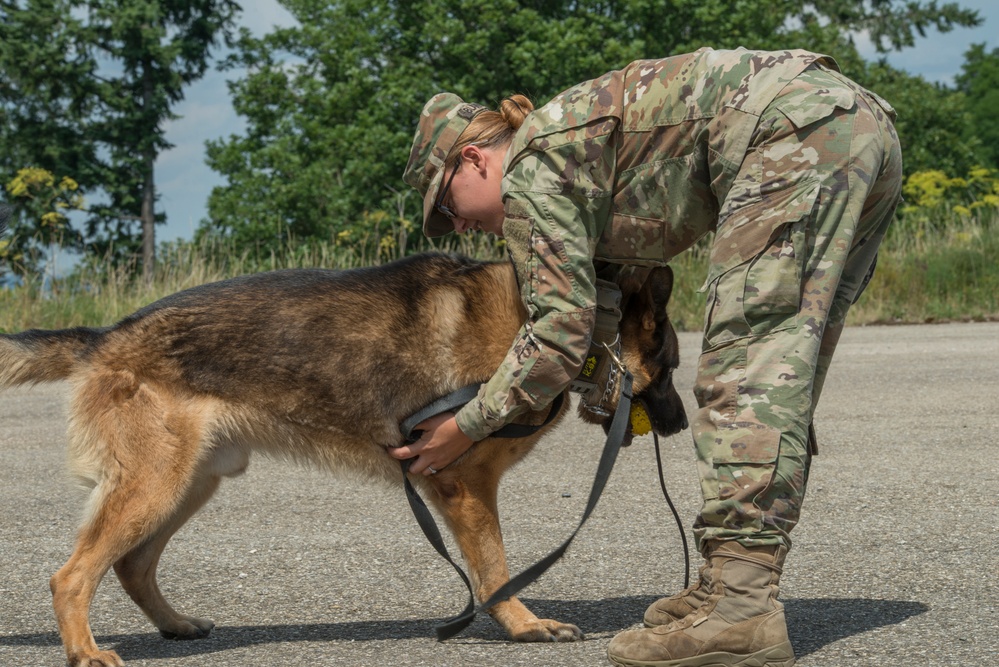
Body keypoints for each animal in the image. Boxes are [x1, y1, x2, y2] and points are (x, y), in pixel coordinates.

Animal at [0, 252, 688, 667]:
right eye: (675, 364)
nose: (682, 424)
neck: (572, 327)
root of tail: (105, 336)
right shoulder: (465, 486)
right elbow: (495, 569)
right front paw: (523, 625)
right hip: (155, 486)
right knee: (71, 575)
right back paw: (86, 651)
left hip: (188, 484)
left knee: (131, 565)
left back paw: (175, 625)